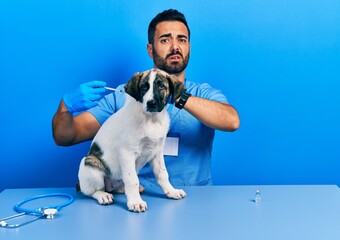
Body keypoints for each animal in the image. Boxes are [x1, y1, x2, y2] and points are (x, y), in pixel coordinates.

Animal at [78, 68, 187, 212]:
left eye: (161, 86)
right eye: (144, 87)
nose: (151, 103)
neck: (151, 119)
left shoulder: (157, 151)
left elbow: (163, 174)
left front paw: (172, 191)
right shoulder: (127, 152)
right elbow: (132, 180)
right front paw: (135, 202)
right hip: (89, 164)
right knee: (92, 191)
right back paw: (103, 195)